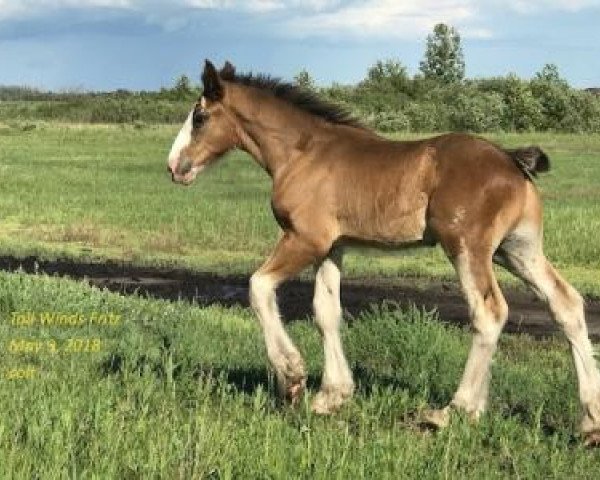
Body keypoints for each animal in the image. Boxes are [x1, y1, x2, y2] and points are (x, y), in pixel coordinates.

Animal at [165, 62, 600, 444]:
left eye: (199, 117)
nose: (174, 167)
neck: (303, 151)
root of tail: (512, 160)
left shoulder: (304, 239)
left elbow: (257, 286)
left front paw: (292, 378)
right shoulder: (333, 246)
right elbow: (326, 312)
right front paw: (332, 395)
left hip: (468, 248)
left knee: (489, 312)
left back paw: (454, 411)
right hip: (518, 251)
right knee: (566, 304)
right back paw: (589, 422)